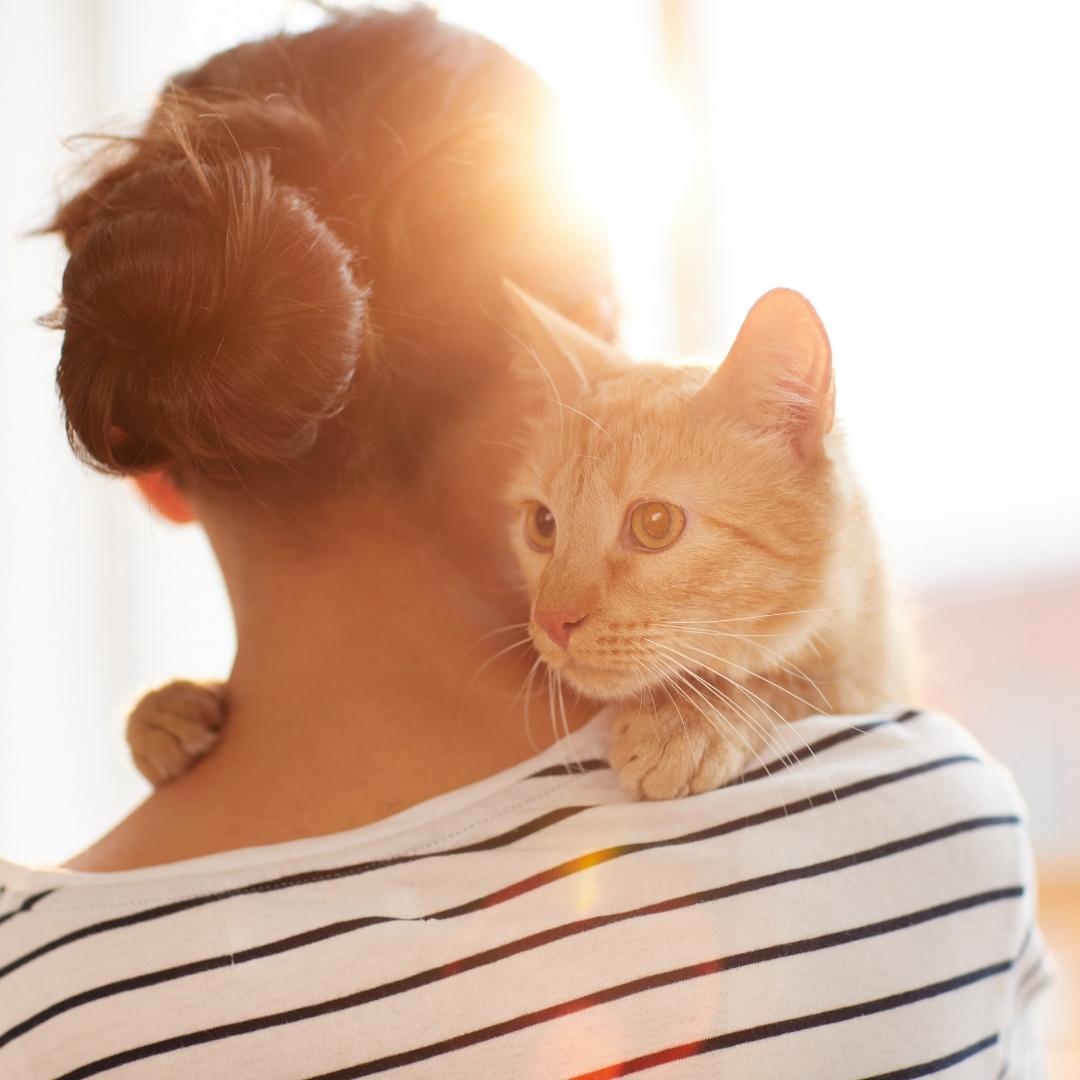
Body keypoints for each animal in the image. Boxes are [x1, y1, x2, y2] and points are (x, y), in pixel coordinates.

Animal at [128, 287, 920, 803]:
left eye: (654, 524)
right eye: (543, 525)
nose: (553, 621)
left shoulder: (871, 679)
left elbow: (794, 681)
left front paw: (695, 718)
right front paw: (169, 708)